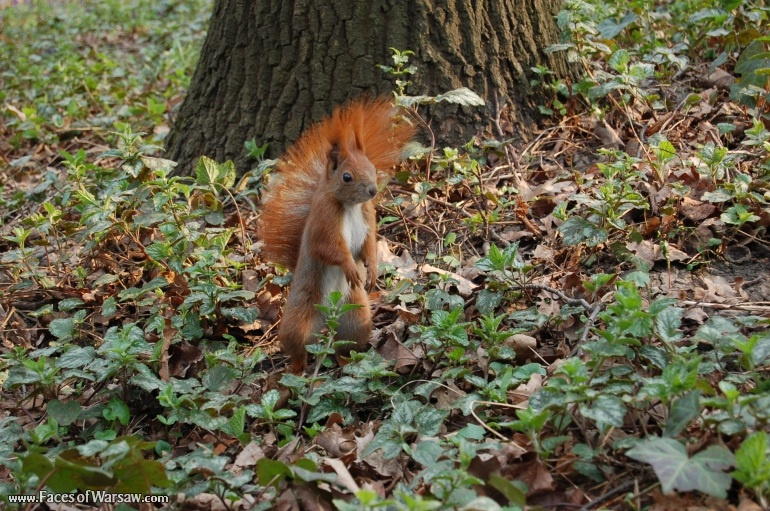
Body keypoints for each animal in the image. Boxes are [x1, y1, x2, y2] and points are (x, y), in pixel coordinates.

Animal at [259, 97, 415, 372]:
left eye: (371, 167)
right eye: (347, 176)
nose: (373, 191)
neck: (349, 205)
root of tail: (325, 324)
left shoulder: (368, 216)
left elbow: (369, 245)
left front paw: (372, 269)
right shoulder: (323, 223)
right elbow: (329, 248)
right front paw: (351, 267)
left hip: (355, 317)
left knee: (345, 345)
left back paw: (346, 362)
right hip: (298, 318)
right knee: (296, 347)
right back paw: (297, 370)